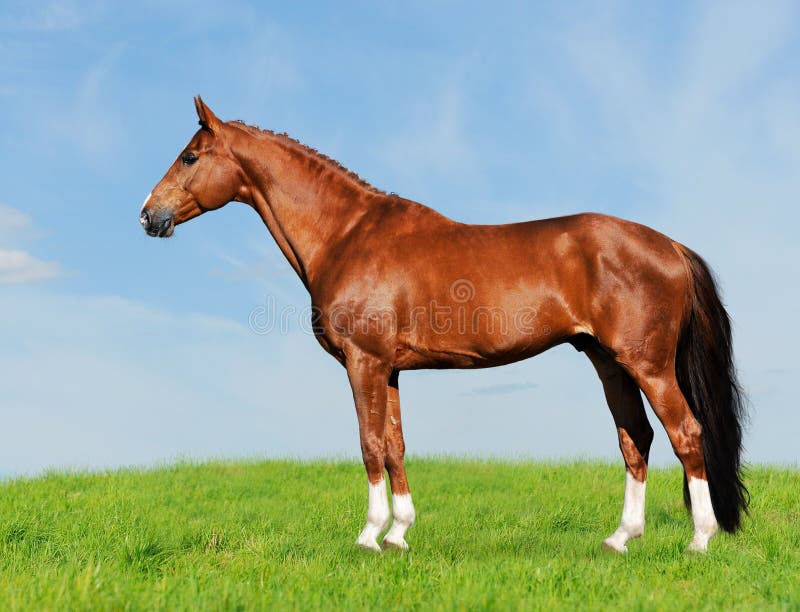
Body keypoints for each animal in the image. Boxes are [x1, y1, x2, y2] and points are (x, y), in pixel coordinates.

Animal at [141, 97, 748, 556]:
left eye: (190, 157)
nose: (149, 215)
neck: (347, 233)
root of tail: (669, 245)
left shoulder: (363, 362)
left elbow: (368, 444)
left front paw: (368, 537)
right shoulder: (388, 369)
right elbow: (395, 445)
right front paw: (399, 534)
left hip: (648, 365)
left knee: (684, 433)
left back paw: (699, 540)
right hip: (608, 362)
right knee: (636, 439)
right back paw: (620, 539)